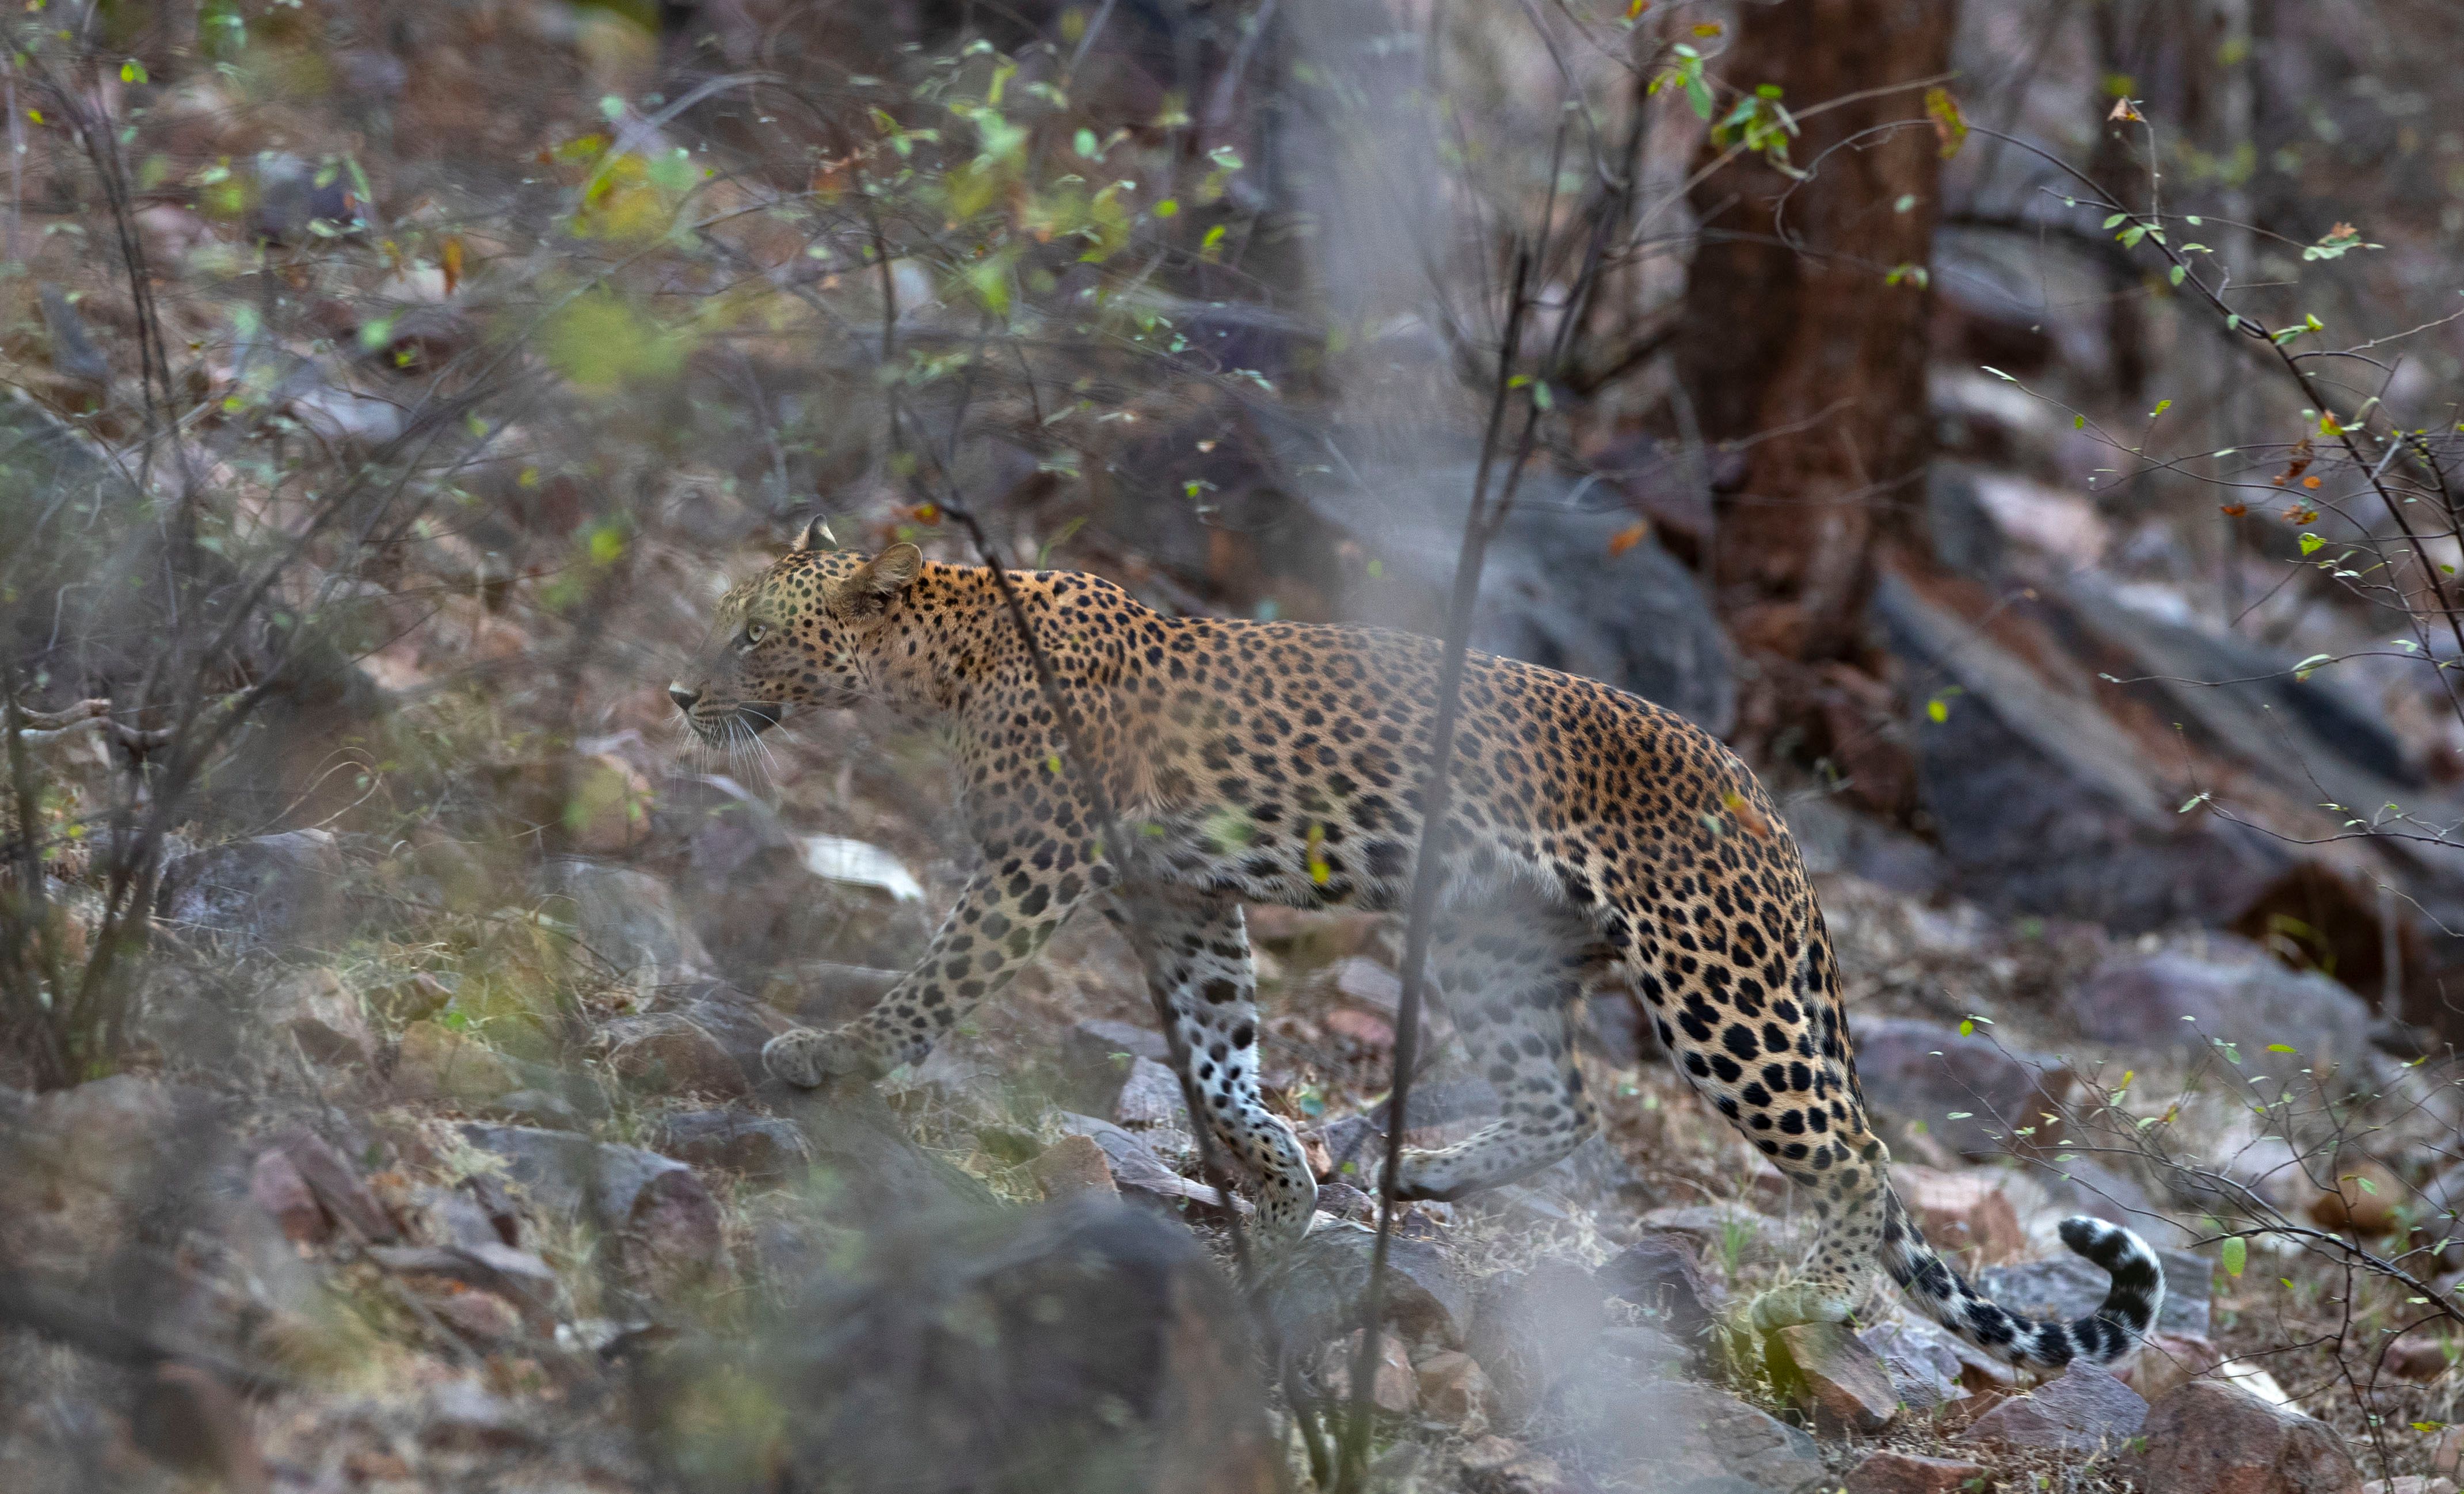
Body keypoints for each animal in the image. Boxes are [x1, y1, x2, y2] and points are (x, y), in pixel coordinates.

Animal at [667, 525, 2164, 1369]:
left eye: (751, 628)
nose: (679, 690)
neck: (945, 657)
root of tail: (1765, 801)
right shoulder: (1176, 898)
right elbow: (1219, 1048)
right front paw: (1278, 1186)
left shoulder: (1040, 865)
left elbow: (938, 976)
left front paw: (830, 1051)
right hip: (1493, 948)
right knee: (1563, 1102)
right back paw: (1425, 1169)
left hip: (1715, 988)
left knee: (1852, 1145)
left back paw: (1819, 1291)